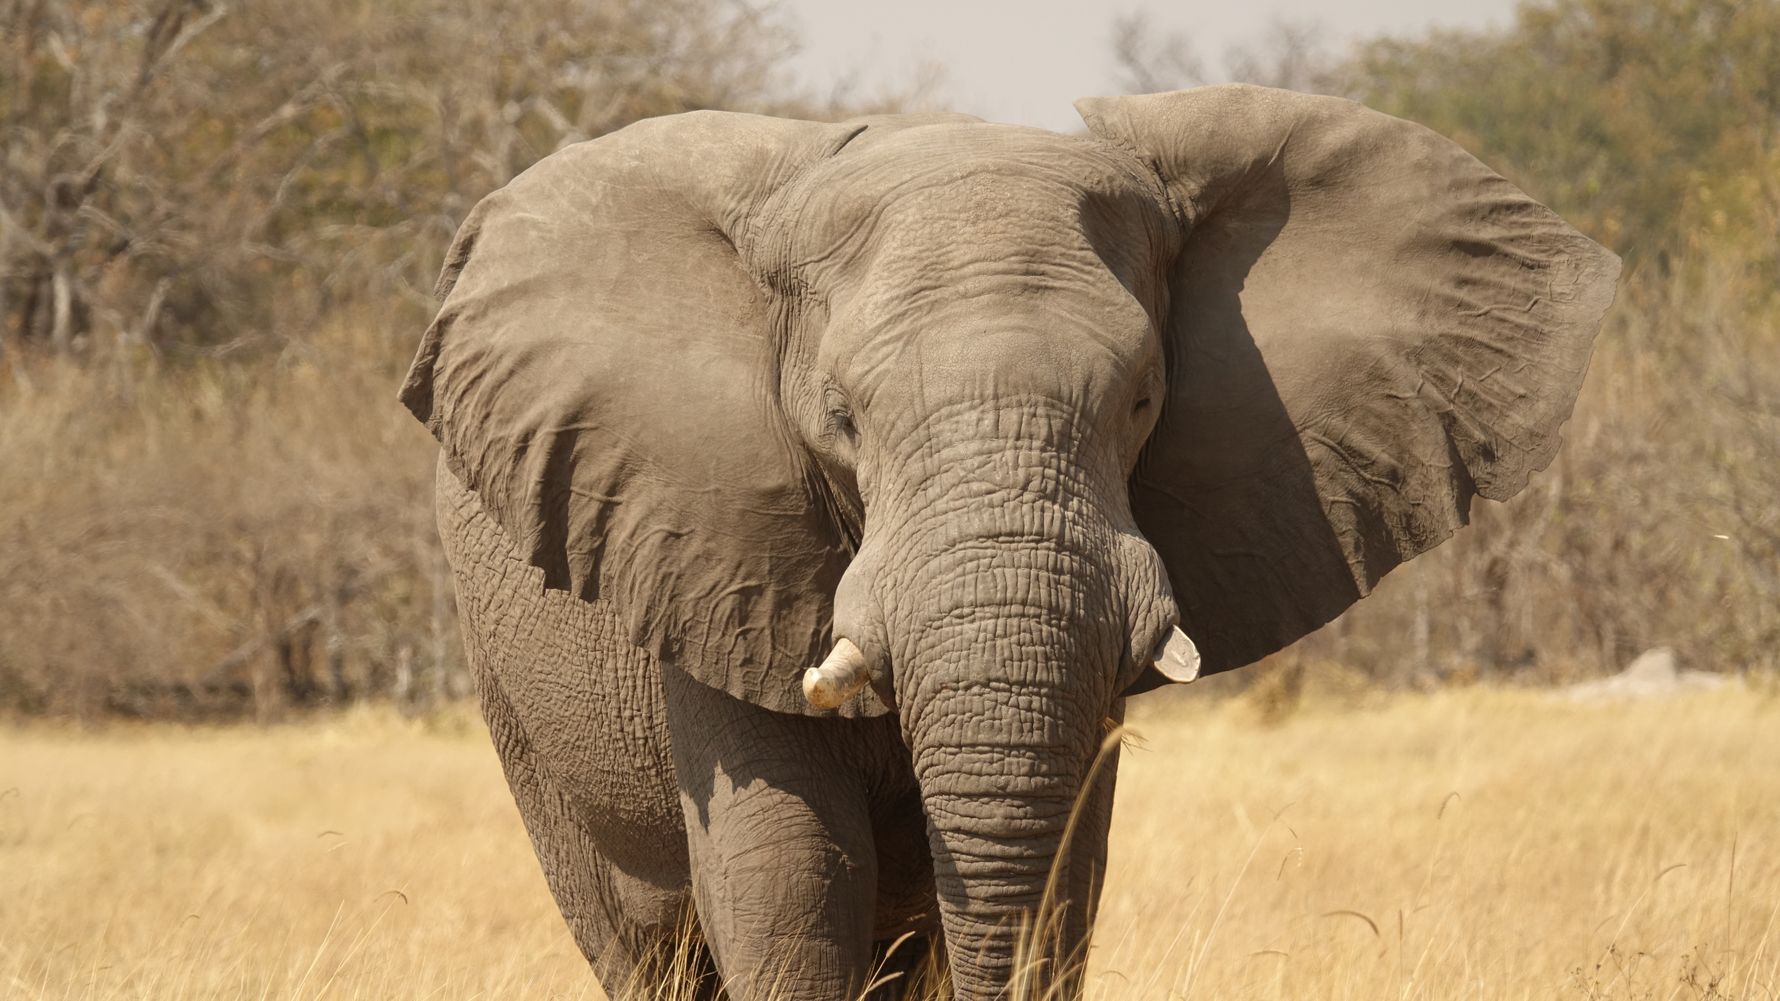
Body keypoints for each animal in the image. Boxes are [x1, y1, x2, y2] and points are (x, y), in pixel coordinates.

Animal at [399, 84, 1619, 999]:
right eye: (839, 417)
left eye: (1141, 400)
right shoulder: (712, 549)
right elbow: (792, 880)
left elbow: (1065, 874)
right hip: (520, 707)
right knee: (643, 945)